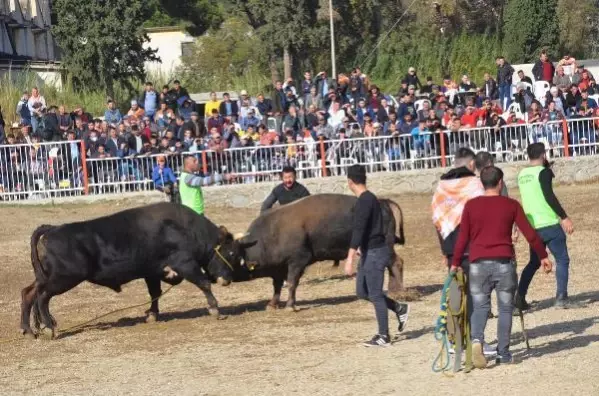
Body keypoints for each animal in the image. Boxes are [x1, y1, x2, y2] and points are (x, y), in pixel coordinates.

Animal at [18, 203, 248, 338]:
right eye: (231, 253)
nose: (228, 280)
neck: (186, 229)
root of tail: (52, 229)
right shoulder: (185, 264)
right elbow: (204, 283)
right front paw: (216, 310)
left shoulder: (152, 272)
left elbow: (155, 293)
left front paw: (152, 315)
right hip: (63, 278)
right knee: (43, 296)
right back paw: (49, 327)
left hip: (47, 277)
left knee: (29, 293)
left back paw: (29, 330)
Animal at [234, 193, 408, 310]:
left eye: (233, 256)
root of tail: (383, 202)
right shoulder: (279, 269)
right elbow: (277, 286)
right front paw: (272, 304)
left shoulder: (297, 262)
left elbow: (291, 283)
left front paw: (290, 305)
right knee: (391, 265)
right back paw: (393, 291)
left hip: (385, 246)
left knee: (396, 263)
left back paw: (399, 292)